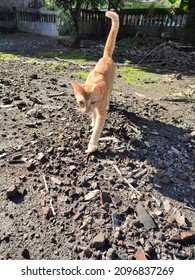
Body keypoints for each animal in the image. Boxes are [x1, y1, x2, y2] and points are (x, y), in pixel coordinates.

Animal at [70, 10, 119, 153]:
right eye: (81, 102)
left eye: (93, 101)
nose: (86, 111)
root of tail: (106, 56)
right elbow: (94, 116)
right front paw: (92, 121)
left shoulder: (100, 110)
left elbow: (98, 128)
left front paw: (92, 145)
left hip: (110, 88)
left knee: (109, 95)